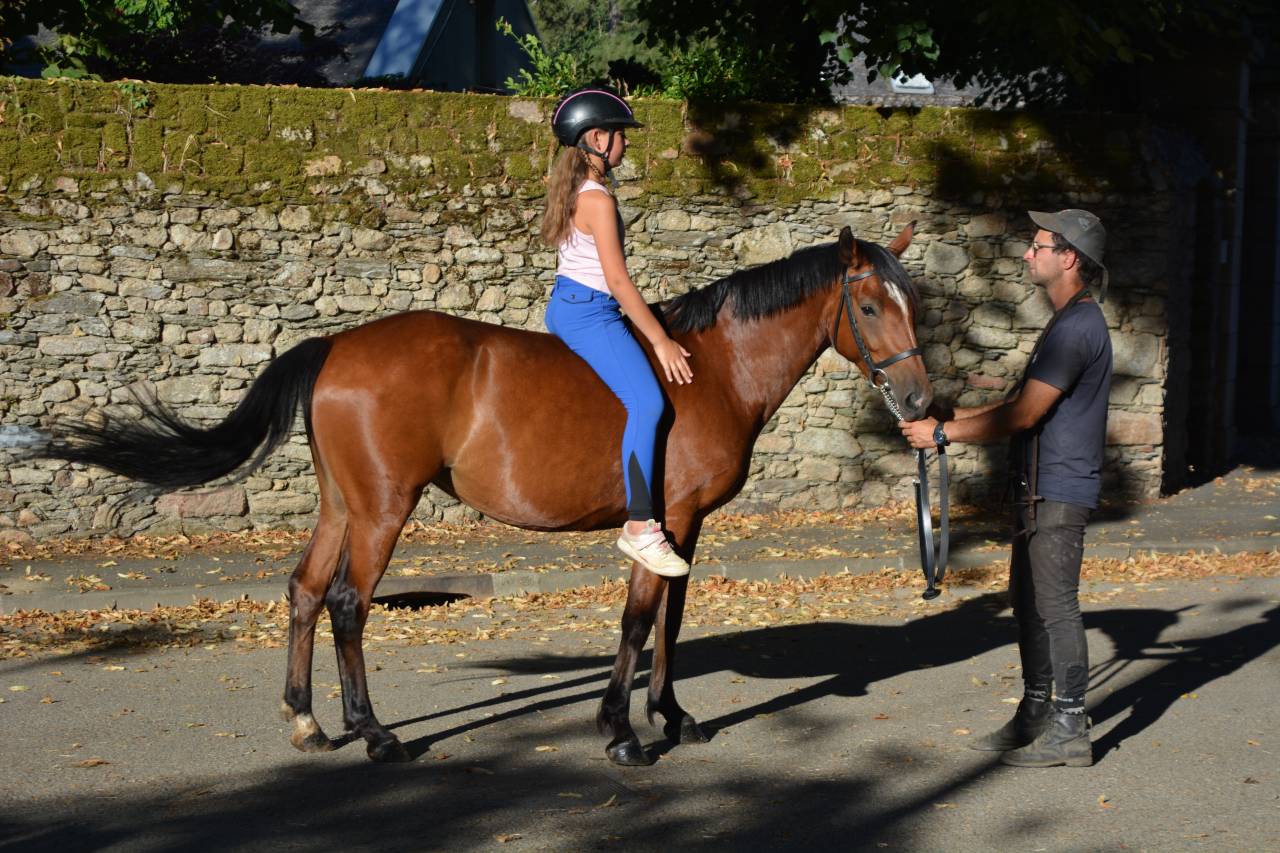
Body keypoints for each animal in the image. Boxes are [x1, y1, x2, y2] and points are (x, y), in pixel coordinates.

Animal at [20, 223, 931, 766]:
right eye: (870, 302)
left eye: (912, 301)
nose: (921, 400)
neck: (706, 367)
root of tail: (338, 344)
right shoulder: (662, 519)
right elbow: (639, 620)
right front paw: (622, 731)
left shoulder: (687, 527)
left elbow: (672, 620)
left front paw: (671, 715)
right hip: (383, 509)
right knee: (348, 601)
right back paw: (376, 732)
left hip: (343, 505)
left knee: (305, 590)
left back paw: (308, 720)